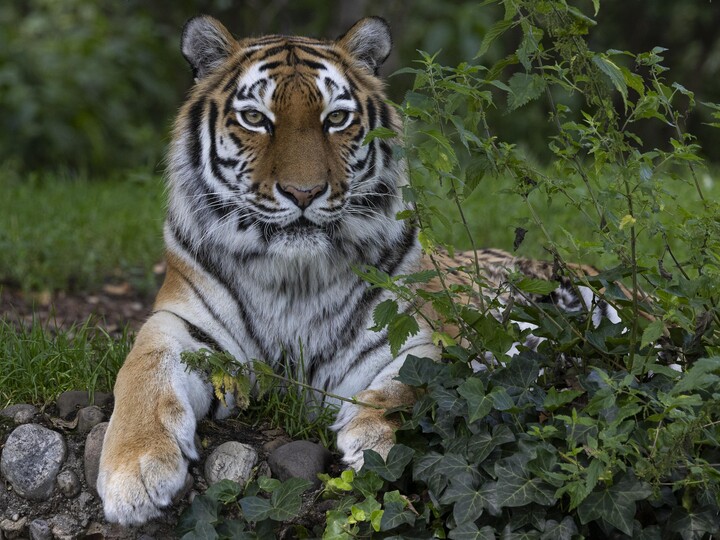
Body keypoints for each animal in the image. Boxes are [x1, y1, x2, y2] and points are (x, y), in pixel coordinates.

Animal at [97, 16, 623, 526]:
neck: (293, 278)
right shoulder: (180, 327)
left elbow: (413, 382)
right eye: (255, 119)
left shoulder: (407, 333)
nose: (304, 192)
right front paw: (135, 472)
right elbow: (141, 379)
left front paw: (373, 438)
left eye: (336, 119)